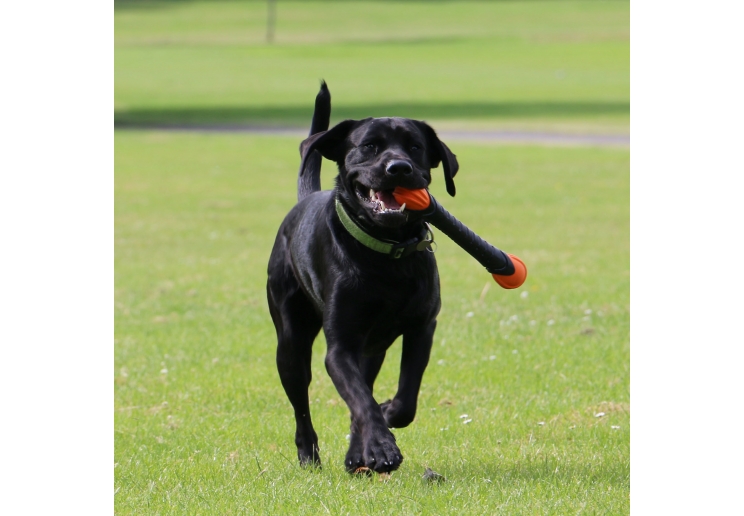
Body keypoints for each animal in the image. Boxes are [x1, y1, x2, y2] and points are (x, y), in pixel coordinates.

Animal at [264, 82, 456, 474]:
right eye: (368, 146)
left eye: (415, 147)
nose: (399, 168)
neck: (385, 254)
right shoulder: (340, 347)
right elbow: (360, 399)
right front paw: (382, 448)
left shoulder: (421, 327)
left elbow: (404, 398)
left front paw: (384, 420)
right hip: (290, 344)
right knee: (302, 404)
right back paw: (310, 456)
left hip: (373, 350)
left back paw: (357, 455)